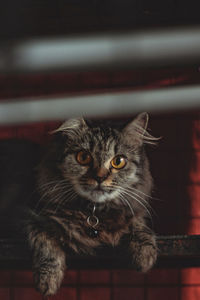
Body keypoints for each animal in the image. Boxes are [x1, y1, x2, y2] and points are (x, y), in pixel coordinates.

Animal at [1, 112, 158, 296]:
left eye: (118, 161)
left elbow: (139, 225)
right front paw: (48, 280)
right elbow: (46, 240)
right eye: (83, 157)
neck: (94, 213)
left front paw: (145, 255)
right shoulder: (22, 215)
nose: (99, 178)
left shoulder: (130, 210)